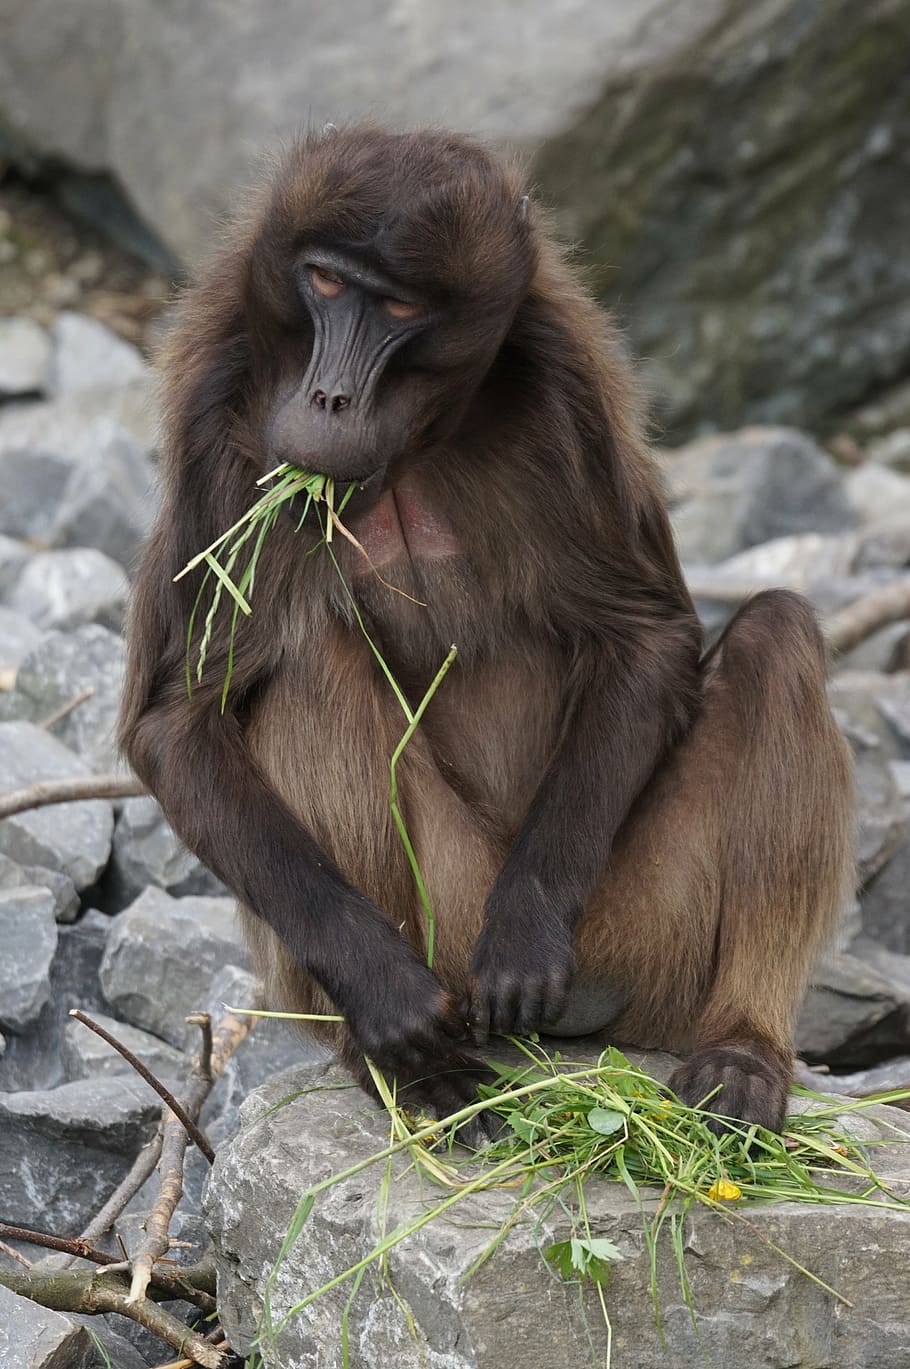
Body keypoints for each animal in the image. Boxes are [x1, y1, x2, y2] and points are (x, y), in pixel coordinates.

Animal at [120, 125, 854, 1137]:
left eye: (398, 306)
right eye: (326, 282)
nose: (330, 401)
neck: (412, 447)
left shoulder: (565, 384)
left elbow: (646, 633)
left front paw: (526, 931)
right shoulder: (217, 409)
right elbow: (177, 718)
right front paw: (385, 994)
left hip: (639, 932)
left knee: (776, 635)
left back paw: (741, 1048)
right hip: (440, 928)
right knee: (309, 671)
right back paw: (406, 1062)